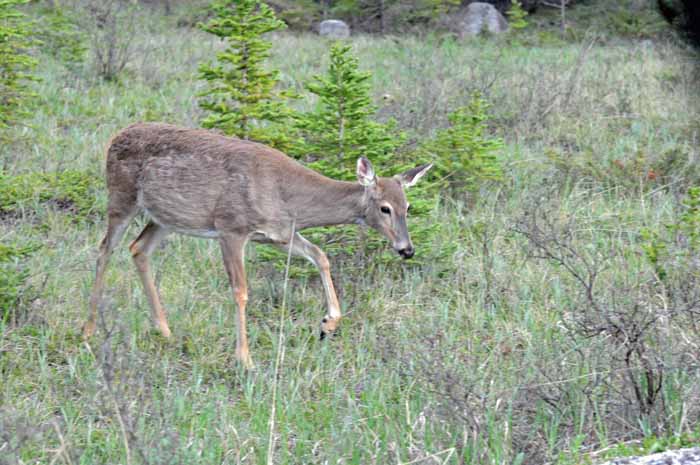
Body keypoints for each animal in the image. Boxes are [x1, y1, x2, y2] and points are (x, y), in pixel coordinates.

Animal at [83, 122, 432, 366]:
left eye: (408, 206)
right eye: (384, 208)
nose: (407, 249)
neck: (287, 197)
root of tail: (115, 137)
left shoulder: (280, 235)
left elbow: (321, 255)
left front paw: (328, 323)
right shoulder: (231, 228)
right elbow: (240, 291)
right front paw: (245, 359)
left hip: (165, 218)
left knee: (138, 249)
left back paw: (165, 331)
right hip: (121, 197)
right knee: (105, 249)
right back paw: (88, 329)